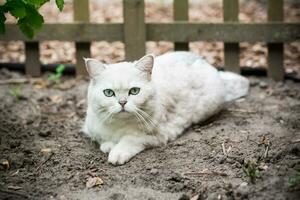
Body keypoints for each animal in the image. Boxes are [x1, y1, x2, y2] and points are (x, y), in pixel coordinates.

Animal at [82, 52, 248, 166]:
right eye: (108, 93)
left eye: (134, 91)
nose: (122, 102)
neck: (120, 126)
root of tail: (215, 70)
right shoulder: (92, 129)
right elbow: (103, 141)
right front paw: (109, 146)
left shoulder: (158, 135)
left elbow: (130, 139)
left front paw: (117, 152)